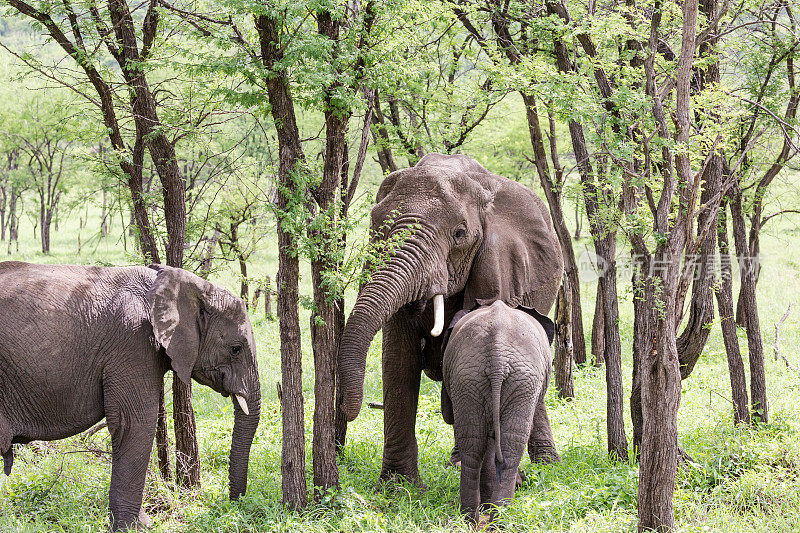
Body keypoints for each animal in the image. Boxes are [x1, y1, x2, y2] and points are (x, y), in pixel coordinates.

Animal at [0, 260, 262, 528]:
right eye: (235, 349)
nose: (233, 504)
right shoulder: (133, 342)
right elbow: (133, 424)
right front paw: (131, 527)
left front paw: (142, 523)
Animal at [338, 152, 564, 484]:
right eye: (376, 225)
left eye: (459, 234)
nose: (346, 408)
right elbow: (398, 360)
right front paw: (398, 486)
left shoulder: (498, 260)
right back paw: (459, 462)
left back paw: (545, 464)